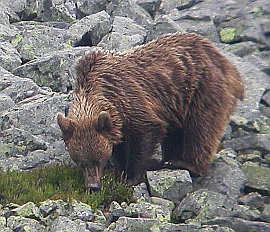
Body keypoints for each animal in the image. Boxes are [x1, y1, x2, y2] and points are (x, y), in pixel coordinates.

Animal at [57, 32, 245, 192]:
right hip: (177, 104)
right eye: (80, 162)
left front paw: (130, 176)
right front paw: (120, 171)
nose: (93, 186)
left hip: (202, 88)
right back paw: (168, 159)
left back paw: (184, 163)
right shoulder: (117, 120)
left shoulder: (131, 99)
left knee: (201, 128)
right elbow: (120, 145)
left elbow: (145, 133)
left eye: (100, 159)